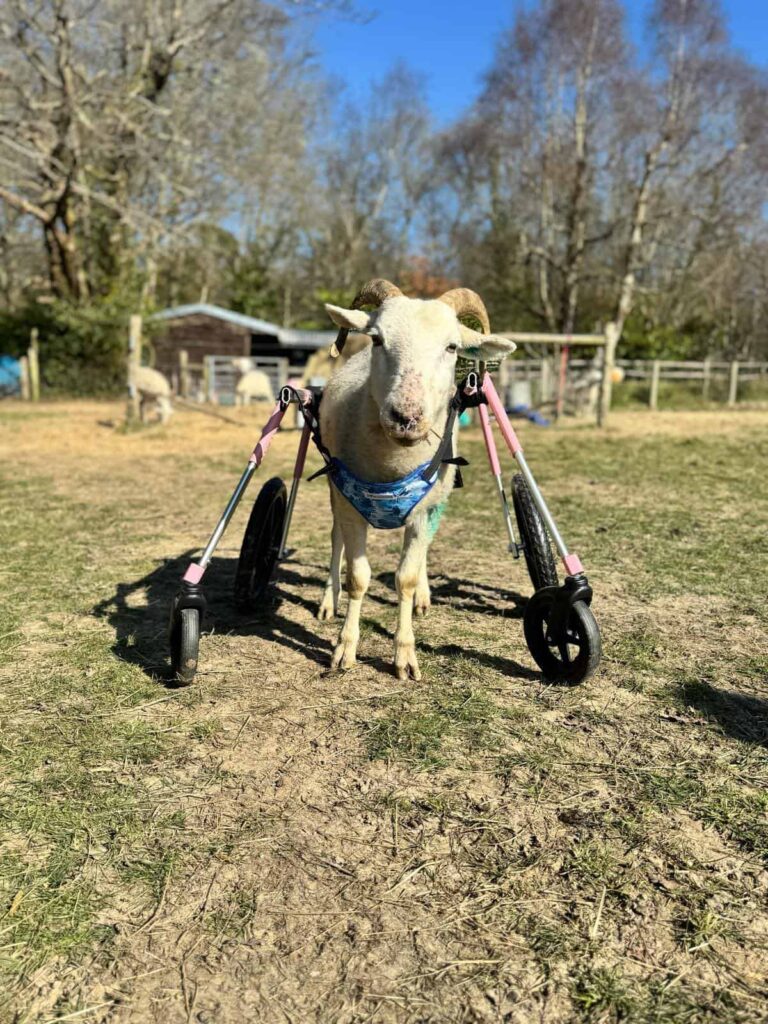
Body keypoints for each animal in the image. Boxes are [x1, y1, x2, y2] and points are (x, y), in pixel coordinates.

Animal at [319, 279, 515, 681]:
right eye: (377, 338)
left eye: (452, 346)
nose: (405, 417)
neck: (392, 468)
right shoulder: (349, 504)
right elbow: (357, 577)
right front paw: (345, 648)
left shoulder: (425, 509)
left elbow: (405, 578)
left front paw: (405, 654)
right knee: (335, 542)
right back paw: (329, 600)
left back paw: (423, 596)